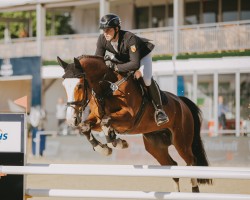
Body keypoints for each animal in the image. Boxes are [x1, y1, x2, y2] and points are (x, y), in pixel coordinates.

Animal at [57, 54, 212, 192]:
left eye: (79, 85)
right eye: (63, 85)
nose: (70, 120)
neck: (107, 88)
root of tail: (182, 102)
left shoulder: (128, 117)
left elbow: (106, 121)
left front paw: (116, 142)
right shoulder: (96, 117)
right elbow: (86, 127)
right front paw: (105, 148)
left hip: (181, 141)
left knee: (191, 161)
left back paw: (195, 190)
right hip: (155, 146)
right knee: (172, 165)